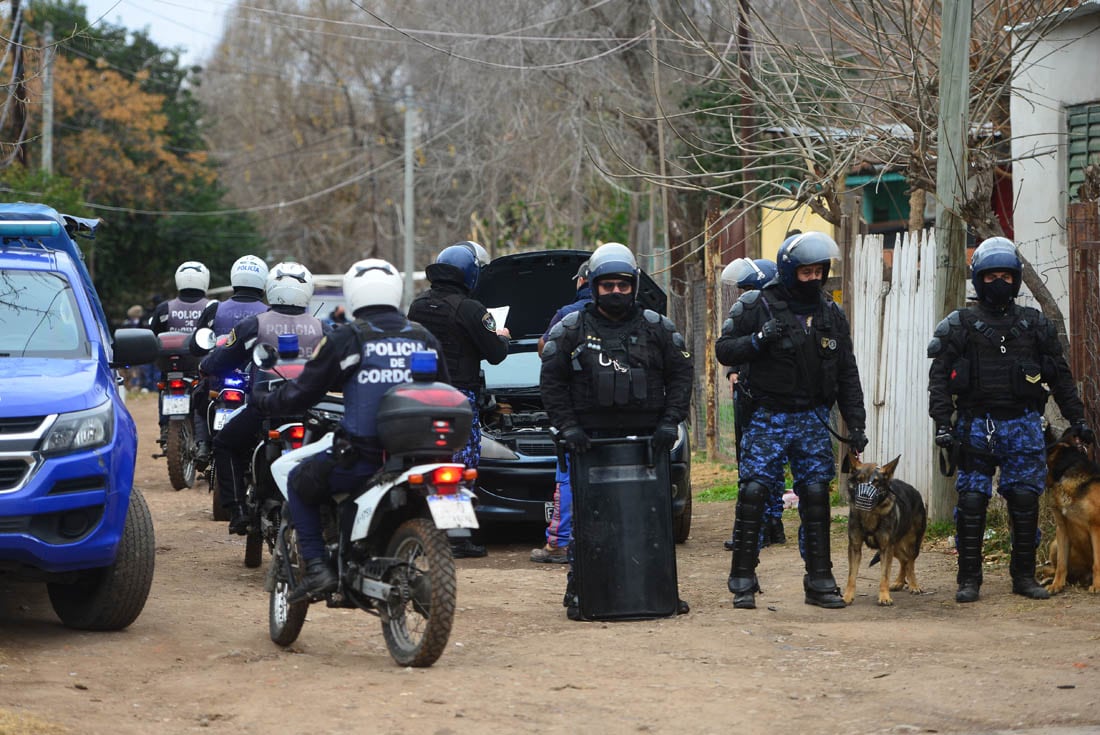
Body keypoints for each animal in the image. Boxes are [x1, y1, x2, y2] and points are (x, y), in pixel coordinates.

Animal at [844, 453, 924, 602]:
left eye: (876, 482)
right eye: (859, 480)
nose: (864, 497)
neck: (870, 513)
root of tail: (914, 490)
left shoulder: (886, 548)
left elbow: (884, 575)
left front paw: (884, 596)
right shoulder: (855, 547)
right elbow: (851, 575)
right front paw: (847, 596)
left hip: (911, 543)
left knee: (910, 562)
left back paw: (914, 585)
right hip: (895, 546)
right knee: (904, 560)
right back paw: (899, 582)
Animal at [1038, 424, 1100, 589]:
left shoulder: (1096, 527)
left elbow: (1098, 562)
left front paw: (1097, 586)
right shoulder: (1062, 528)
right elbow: (1061, 564)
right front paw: (1056, 585)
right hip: (1054, 544)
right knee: (1054, 568)